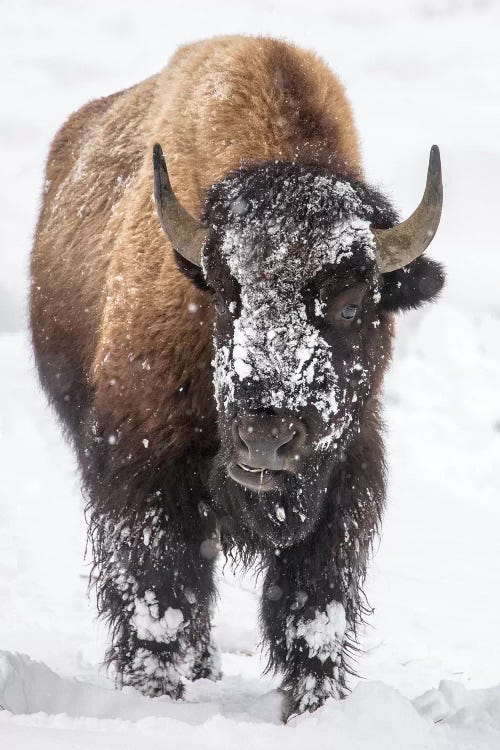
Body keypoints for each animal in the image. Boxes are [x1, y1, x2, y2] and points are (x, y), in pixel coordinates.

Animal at [30, 36, 446, 724]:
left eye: (352, 303)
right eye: (227, 296)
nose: (265, 437)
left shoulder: (345, 484)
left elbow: (313, 611)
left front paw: (315, 708)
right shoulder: (142, 477)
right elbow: (163, 598)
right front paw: (157, 695)